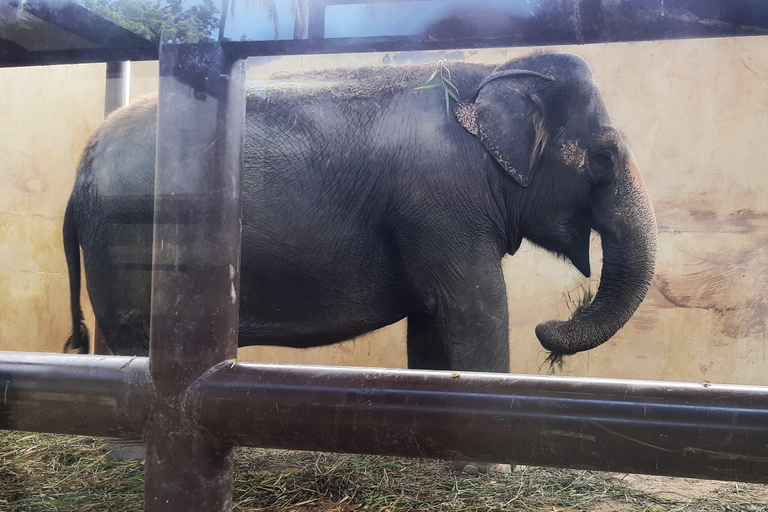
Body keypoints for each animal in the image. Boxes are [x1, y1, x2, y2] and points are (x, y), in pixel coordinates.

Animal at [63, 52, 656, 374]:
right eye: (603, 159)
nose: (552, 324)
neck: (494, 69)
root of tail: (80, 171)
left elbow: (433, 317)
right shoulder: (442, 200)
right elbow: (477, 307)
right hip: (127, 237)